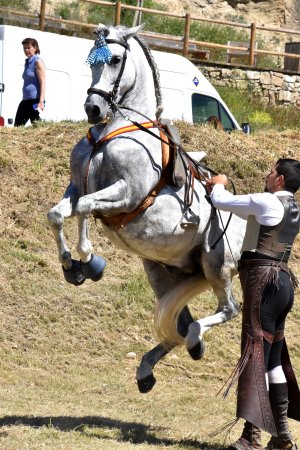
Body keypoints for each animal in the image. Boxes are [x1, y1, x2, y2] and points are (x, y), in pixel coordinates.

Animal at [47, 22, 246, 392]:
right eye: (91, 59)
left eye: (115, 59)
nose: (93, 109)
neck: (110, 132)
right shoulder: (77, 186)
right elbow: (57, 214)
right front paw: (70, 266)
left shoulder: (126, 192)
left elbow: (85, 208)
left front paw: (88, 259)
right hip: (163, 273)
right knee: (178, 322)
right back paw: (149, 368)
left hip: (216, 264)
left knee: (228, 310)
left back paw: (195, 341)